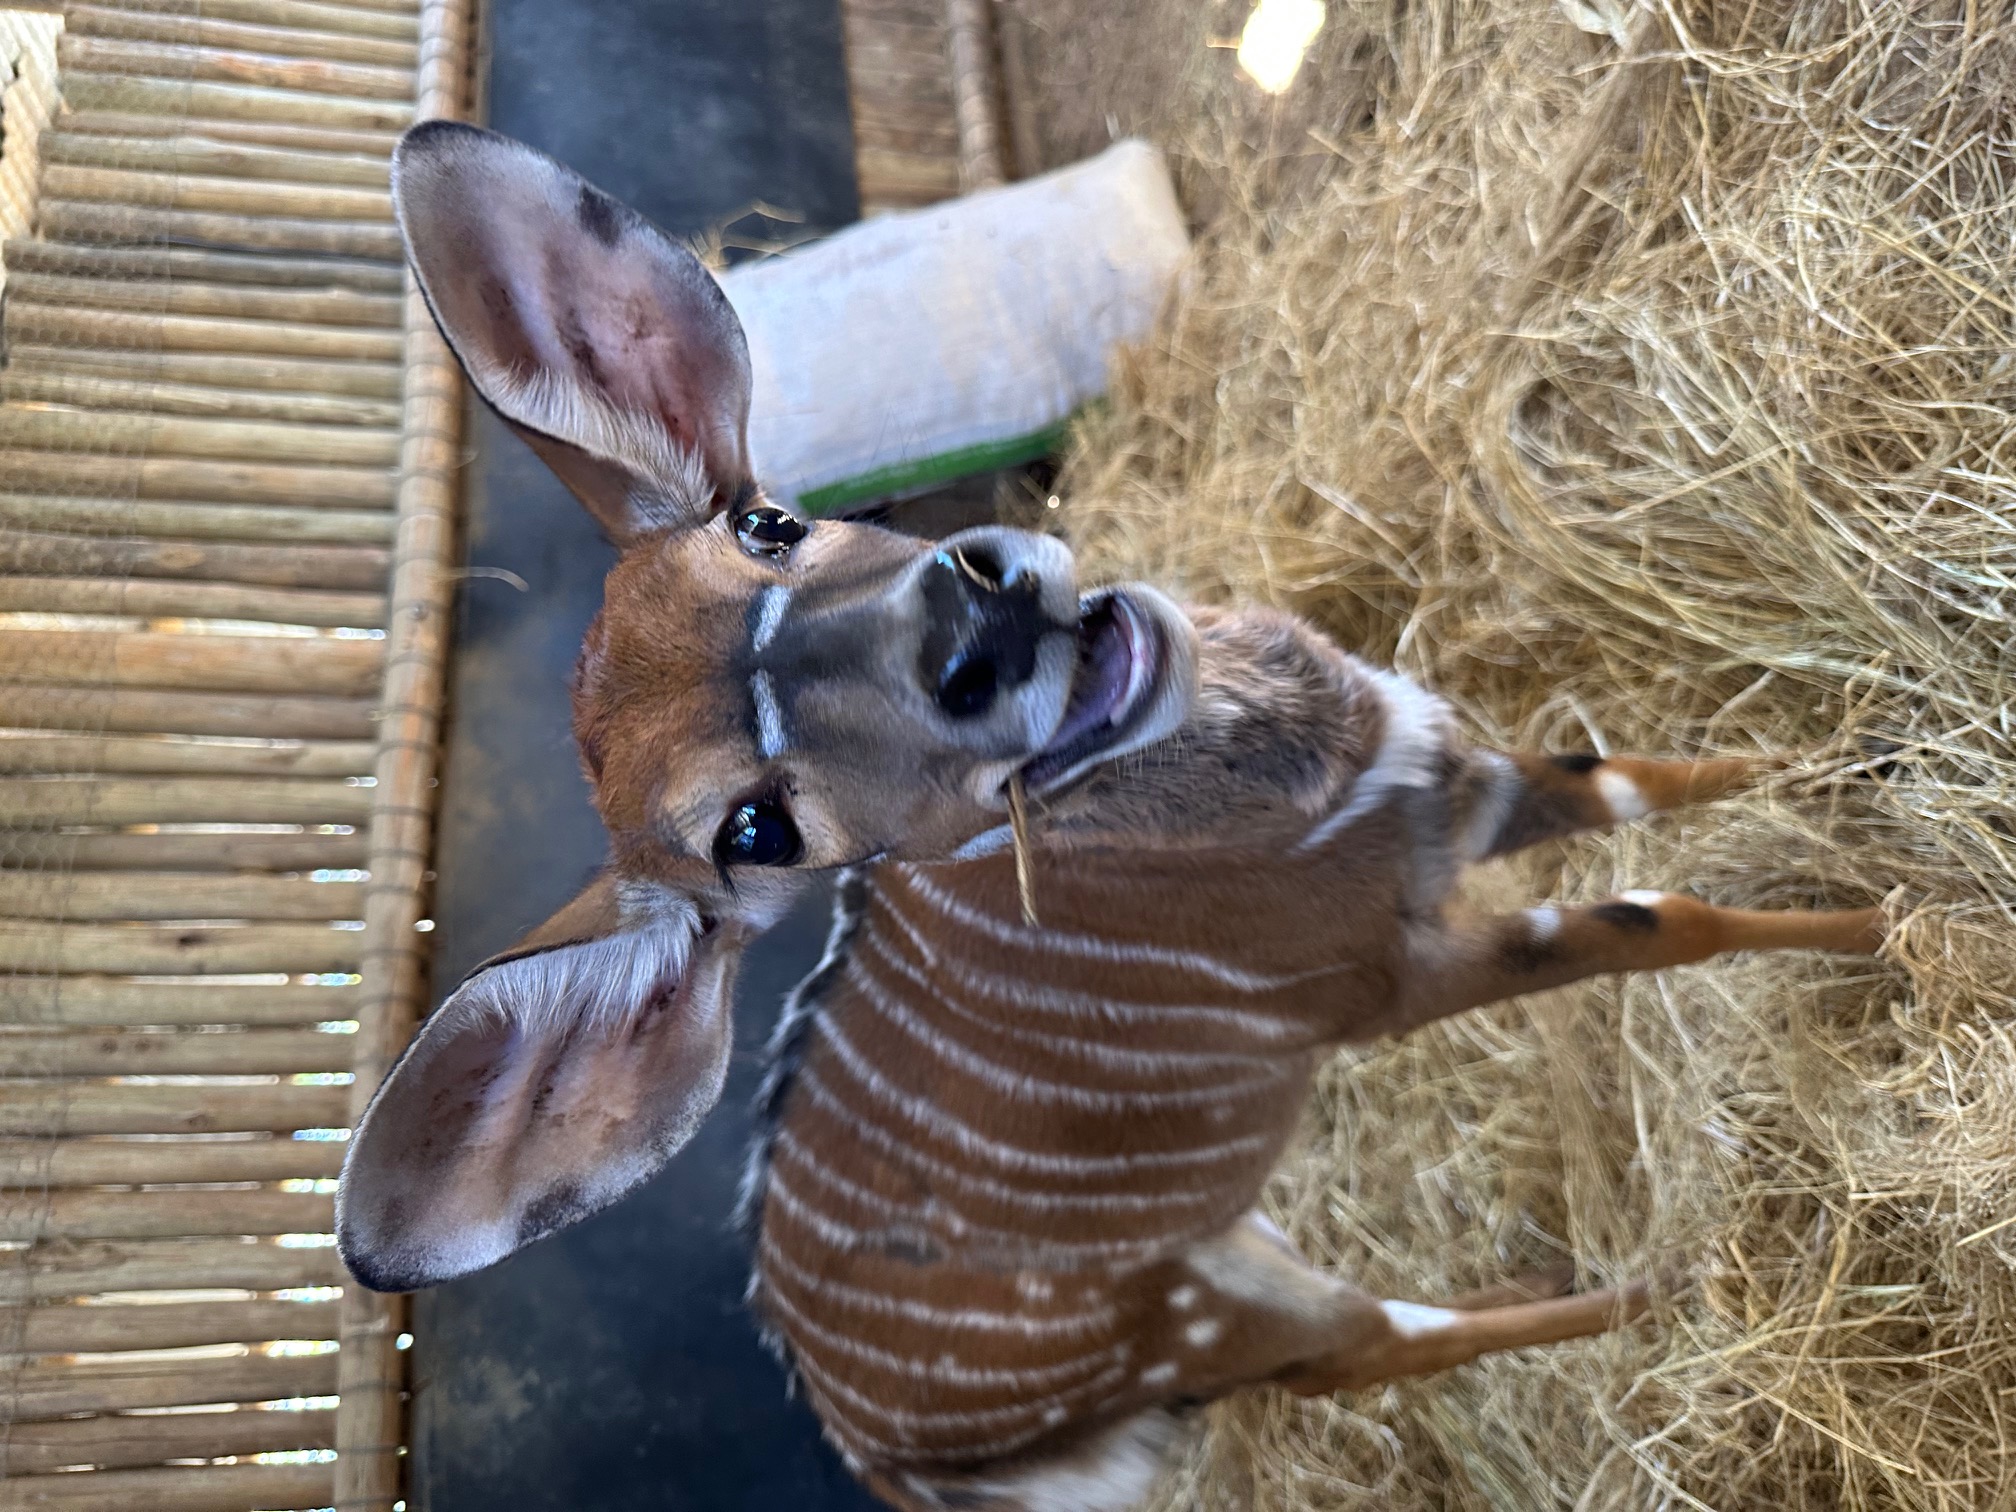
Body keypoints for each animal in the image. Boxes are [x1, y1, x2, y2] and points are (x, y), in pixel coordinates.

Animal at [337, 121, 1888, 1512]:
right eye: (755, 833)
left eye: (769, 524)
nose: (973, 622)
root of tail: (908, 1469)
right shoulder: (1378, 977)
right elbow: (1659, 917)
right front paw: (1889, 928)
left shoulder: (1455, 785)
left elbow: (1633, 780)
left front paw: (1845, 761)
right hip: (1217, 1312)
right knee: (1372, 1348)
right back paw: (1663, 1290)